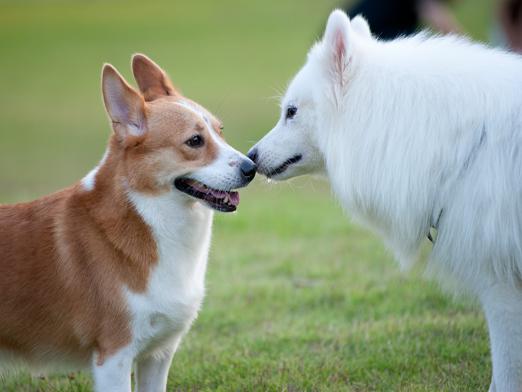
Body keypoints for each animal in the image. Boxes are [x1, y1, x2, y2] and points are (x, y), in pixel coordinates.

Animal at [0, 53, 254, 390]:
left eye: (220, 130)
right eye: (195, 141)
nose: (252, 167)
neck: (150, 218)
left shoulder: (158, 355)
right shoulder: (114, 357)